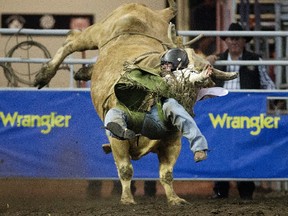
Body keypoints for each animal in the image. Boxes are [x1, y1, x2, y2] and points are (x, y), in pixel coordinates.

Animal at [33, 0, 236, 206]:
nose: (201, 75)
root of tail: (143, 8)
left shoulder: (172, 142)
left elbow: (167, 173)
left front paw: (174, 198)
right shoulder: (117, 139)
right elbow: (125, 168)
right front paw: (127, 198)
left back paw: (82, 72)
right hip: (98, 32)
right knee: (72, 40)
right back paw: (44, 75)